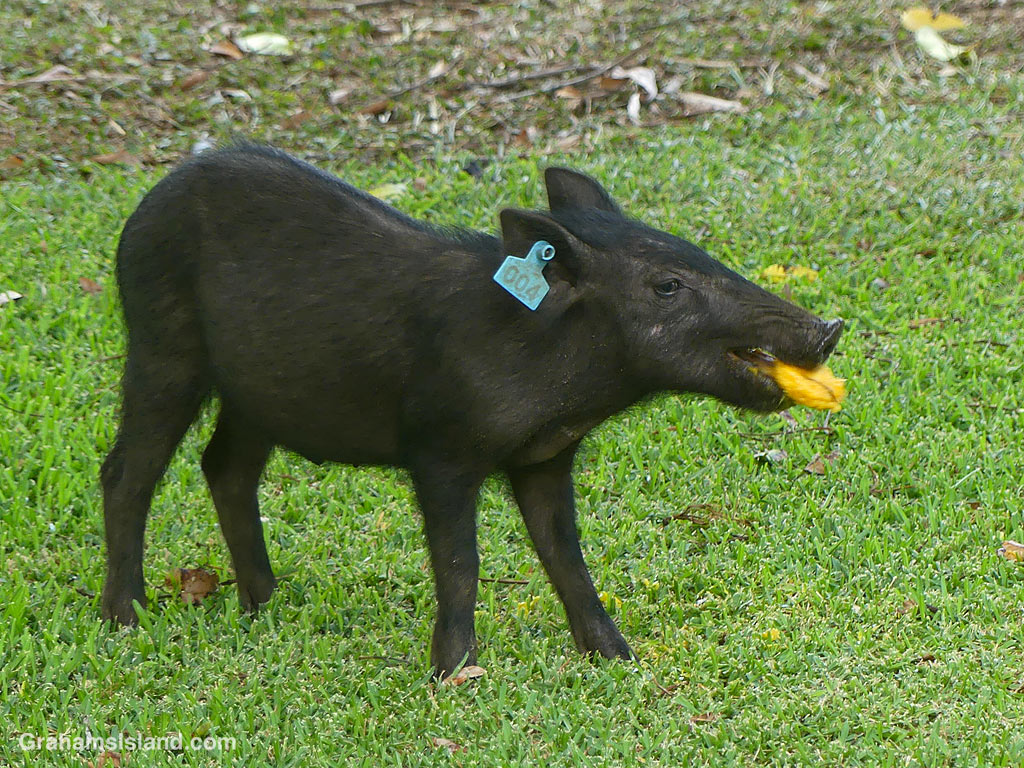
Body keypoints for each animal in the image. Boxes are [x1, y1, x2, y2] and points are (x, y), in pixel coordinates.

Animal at [100, 144, 842, 677]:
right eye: (666, 285)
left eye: (699, 253)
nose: (829, 327)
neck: (565, 385)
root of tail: (142, 208)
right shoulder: (440, 451)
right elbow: (461, 562)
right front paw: (455, 675)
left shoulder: (546, 459)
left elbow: (565, 554)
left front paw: (617, 659)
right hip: (162, 345)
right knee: (127, 470)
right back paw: (125, 620)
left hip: (255, 394)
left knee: (224, 465)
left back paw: (270, 606)